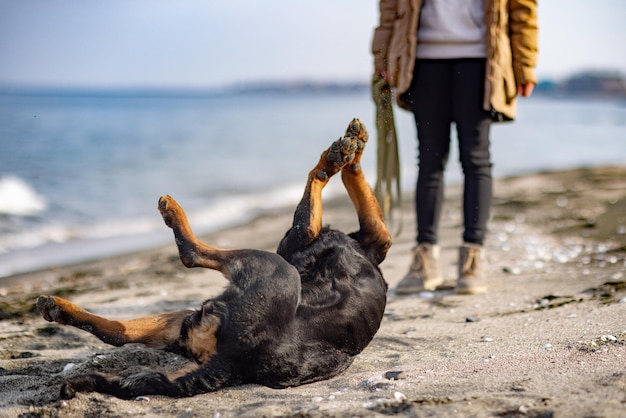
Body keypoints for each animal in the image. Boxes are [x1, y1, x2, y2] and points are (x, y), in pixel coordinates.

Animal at [35, 119, 390, 400]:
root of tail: (233, 360)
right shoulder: (343, 240)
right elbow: (359, 202)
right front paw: (353, 148)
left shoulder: (299, 239)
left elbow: (321, 198)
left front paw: (340, 156)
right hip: (181, 336)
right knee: (118, 333)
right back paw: (59, 312)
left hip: (267, 269)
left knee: (190, 255)